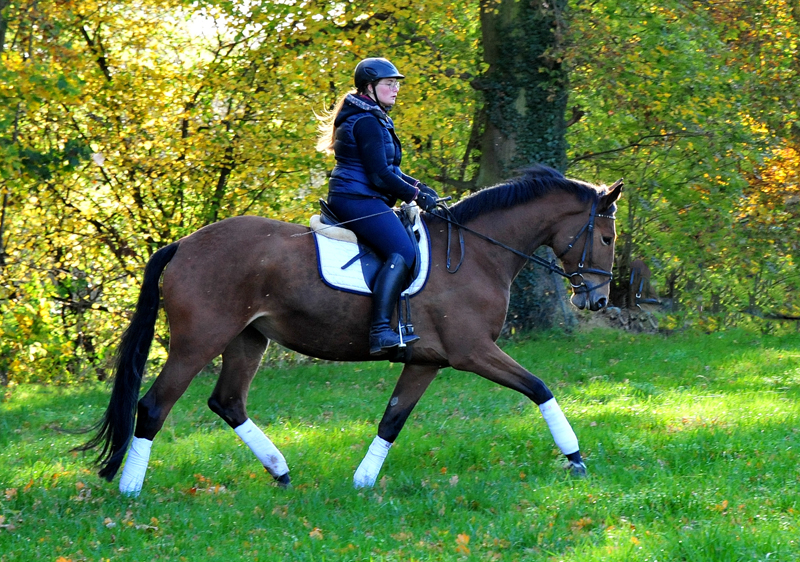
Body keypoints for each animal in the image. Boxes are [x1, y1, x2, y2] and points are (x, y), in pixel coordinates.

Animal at [76, 164, 624, 492]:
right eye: (606, 236)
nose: (595, 299)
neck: (477, 253)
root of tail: (183, 245)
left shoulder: (427, 361)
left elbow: (392, 420)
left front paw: (362, 482)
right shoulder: (472, 351)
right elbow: (540, 388)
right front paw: (575, 457)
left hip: (248, 339)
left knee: (227, 402)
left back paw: (281, 472)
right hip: (198, 341)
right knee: (154, 406)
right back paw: (131, 489)